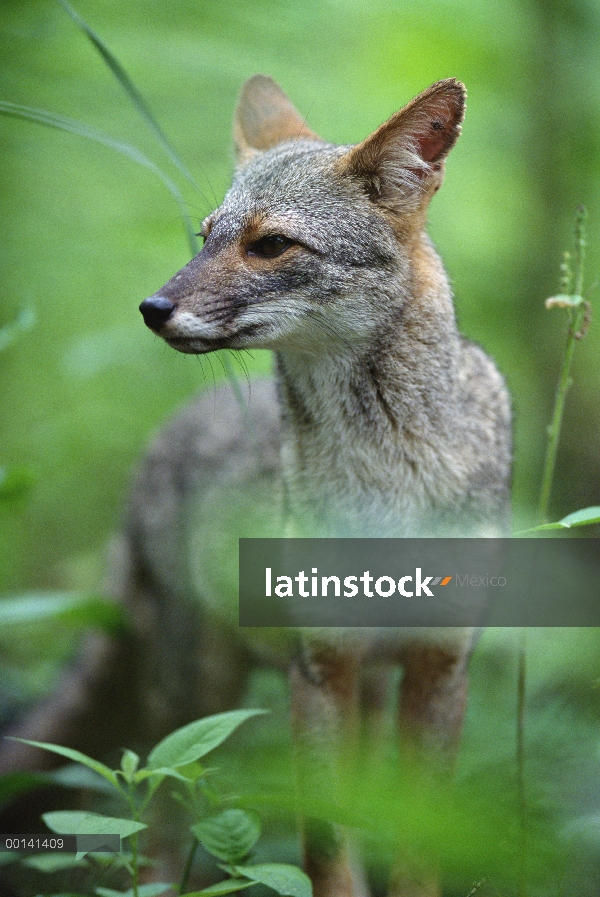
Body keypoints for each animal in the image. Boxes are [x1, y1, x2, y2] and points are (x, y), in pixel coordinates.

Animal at [0, 79, 510, 896]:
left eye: (270, 244)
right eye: (207, 236)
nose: (151, 309)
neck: (388, 480)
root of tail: (160, 440)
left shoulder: (439, 667)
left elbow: (417, 849)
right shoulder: (317, 667)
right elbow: (325, 845)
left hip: (358, 692)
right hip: (197, 690)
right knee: (157, 819)